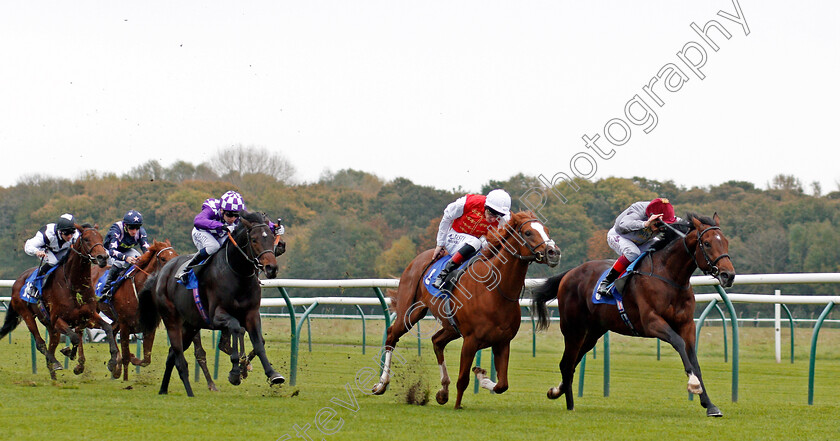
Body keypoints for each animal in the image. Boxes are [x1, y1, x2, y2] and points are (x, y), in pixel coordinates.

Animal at [0, 223, 120, 378]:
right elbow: (75, 337)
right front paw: (70, 354)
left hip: (50, 325)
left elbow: (107, 329)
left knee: (52, 345)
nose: (103, 257)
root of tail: (17, 281)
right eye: (86, 239)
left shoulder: (88, 316)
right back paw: (56, 362)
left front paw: (112, 360)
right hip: (27, 315)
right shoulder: (58, 319)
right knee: (40, 343)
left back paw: (54, 375)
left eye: (100, 238)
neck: (73, 285)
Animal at [136, 210, 284, 396]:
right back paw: (190, 393)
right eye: (254, 239)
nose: (271, 268)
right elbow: (236, 328)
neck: (238, 274)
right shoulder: (216, 316)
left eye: (272, 238)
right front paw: (235, 371)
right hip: (172, 321)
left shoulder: (252, 314)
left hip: (190, 326)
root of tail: (159, 275)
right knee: (179, 359)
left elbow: (259, 344)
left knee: (171, 355)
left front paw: (272, 374)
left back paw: (163, 389)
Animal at [372, 211, 556, 408]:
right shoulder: (470, 340)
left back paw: (443, 390)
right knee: (392, 336)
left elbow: (502, 385)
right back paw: (381, 384)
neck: (494, 290)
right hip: (411, 311)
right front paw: (458, 404)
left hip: (451, 327)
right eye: (528, 233)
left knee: (437, 341)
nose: (554, 252)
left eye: (546, 230)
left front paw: (482, 376)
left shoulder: (502, 342)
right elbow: (463, 379)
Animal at [532, 212, 736, 416]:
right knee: (566, 364)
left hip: (593, 333)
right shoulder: (651, 322)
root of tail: (569, 273)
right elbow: (678, 342)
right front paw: (693, 384)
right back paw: (570, 405)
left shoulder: (687, 324)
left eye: (726, 242)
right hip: (573, 329)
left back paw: (557, 391)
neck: (669, 276)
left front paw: (710, 405)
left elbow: (695, 361)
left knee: (573, 362)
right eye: (707, 243)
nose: (728, 275)